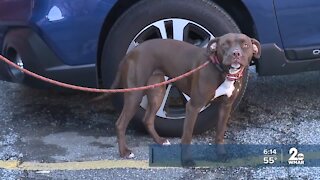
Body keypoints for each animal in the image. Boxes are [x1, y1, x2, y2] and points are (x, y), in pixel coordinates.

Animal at [109, 33, 260, 158]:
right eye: (225, 44)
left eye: (245, 45)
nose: (236, 53)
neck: (222, 72)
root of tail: (130, 53)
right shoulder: (193, 107)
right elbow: (187, 136)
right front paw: (187, 160)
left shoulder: (226, 106)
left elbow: (220, 133)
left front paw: (221, 154)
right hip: (135, 95)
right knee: (120, 124)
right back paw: (124, 152)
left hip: (157, 92)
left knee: (148, 119)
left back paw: (160, 141)